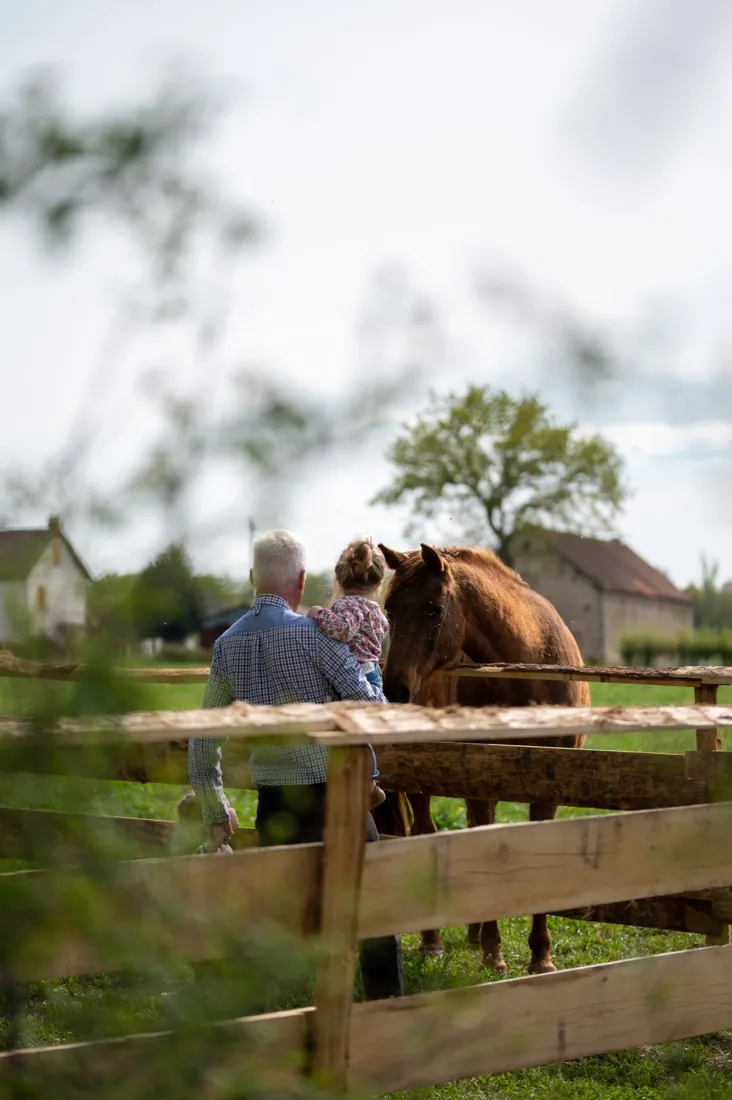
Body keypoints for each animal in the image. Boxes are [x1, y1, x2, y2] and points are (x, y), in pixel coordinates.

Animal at [372, 541, 590, 976]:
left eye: (434, 608)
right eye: (389, 609)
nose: (395, 689)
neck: (529, 671)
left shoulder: (548, 786)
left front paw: (541, 956)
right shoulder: (477, 781)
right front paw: (495, 951)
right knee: (427, 832)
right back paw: (434, 942)